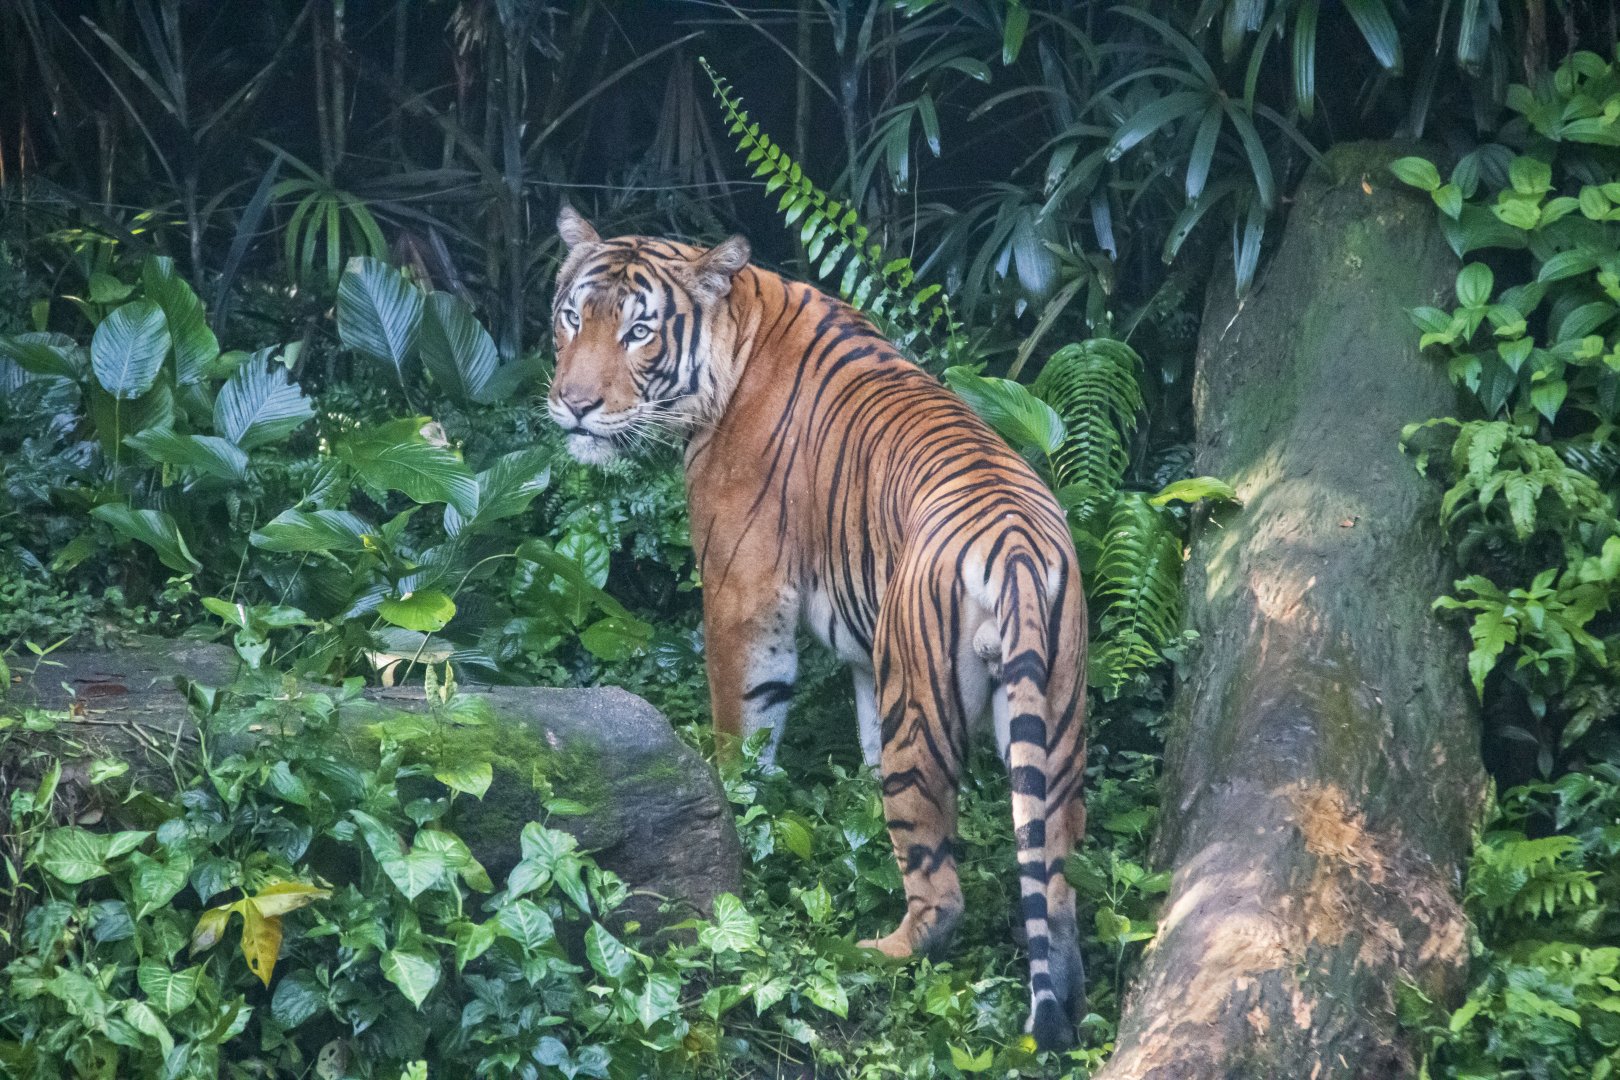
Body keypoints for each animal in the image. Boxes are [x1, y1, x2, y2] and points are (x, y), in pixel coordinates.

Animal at [547, 205, 1090, 1052]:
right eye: (574, 317)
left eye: (638, 332)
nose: (572, 404)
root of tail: (1017, 550)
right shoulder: (872, 653)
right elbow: (860, 738)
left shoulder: (741, 596)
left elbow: (743, 730)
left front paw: (733, 810)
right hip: (1056, 722)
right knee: (1054, 884)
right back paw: (1064, 1008)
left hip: (923, 721)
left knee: (940, 890)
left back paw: (866, 952)